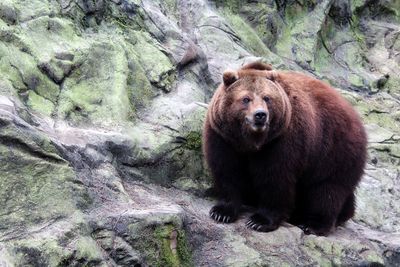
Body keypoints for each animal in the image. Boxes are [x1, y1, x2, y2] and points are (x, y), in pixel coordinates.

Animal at [205, 61, 368, 236]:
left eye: (267, 98)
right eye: (246, 98)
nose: (260, 115)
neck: (252, 141)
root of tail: (354, 114)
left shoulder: (281, 140)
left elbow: (275, 177)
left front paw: (260, 221)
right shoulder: (223, 137)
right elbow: (227, 171)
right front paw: (222, 212)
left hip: (334, 149)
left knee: (328, 188)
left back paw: (314, 224)